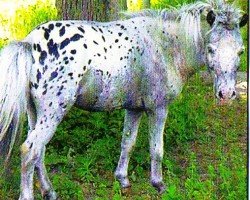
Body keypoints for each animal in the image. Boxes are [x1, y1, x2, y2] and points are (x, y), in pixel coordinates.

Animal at [0, 0, 247, 199]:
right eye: (211, 49)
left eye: (240, 51)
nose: (226, 94)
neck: (164, 45)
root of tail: (30, 43)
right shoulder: (158, 109)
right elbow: (156, 149)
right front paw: (158, 184)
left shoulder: (134, 109)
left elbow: (128, 143)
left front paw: (123, 180)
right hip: (52, 114)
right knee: (30, 151)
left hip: (36, 114)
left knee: (39, 153)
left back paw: (49, 191)